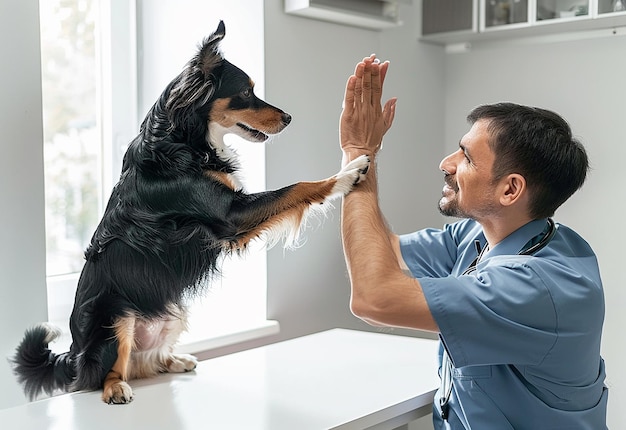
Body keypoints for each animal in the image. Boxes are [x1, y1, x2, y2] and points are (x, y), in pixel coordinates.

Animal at [12, 19, 368, 404]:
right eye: (245, 92)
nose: (288, 118)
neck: (182, 141)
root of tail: (72, 354)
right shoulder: (231, 215)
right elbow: (299, 186)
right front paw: (348, 174)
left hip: (173, 314)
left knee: (147, 361)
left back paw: (176, 359)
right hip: (115, 318)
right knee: (104, 372)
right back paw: (115, 388)